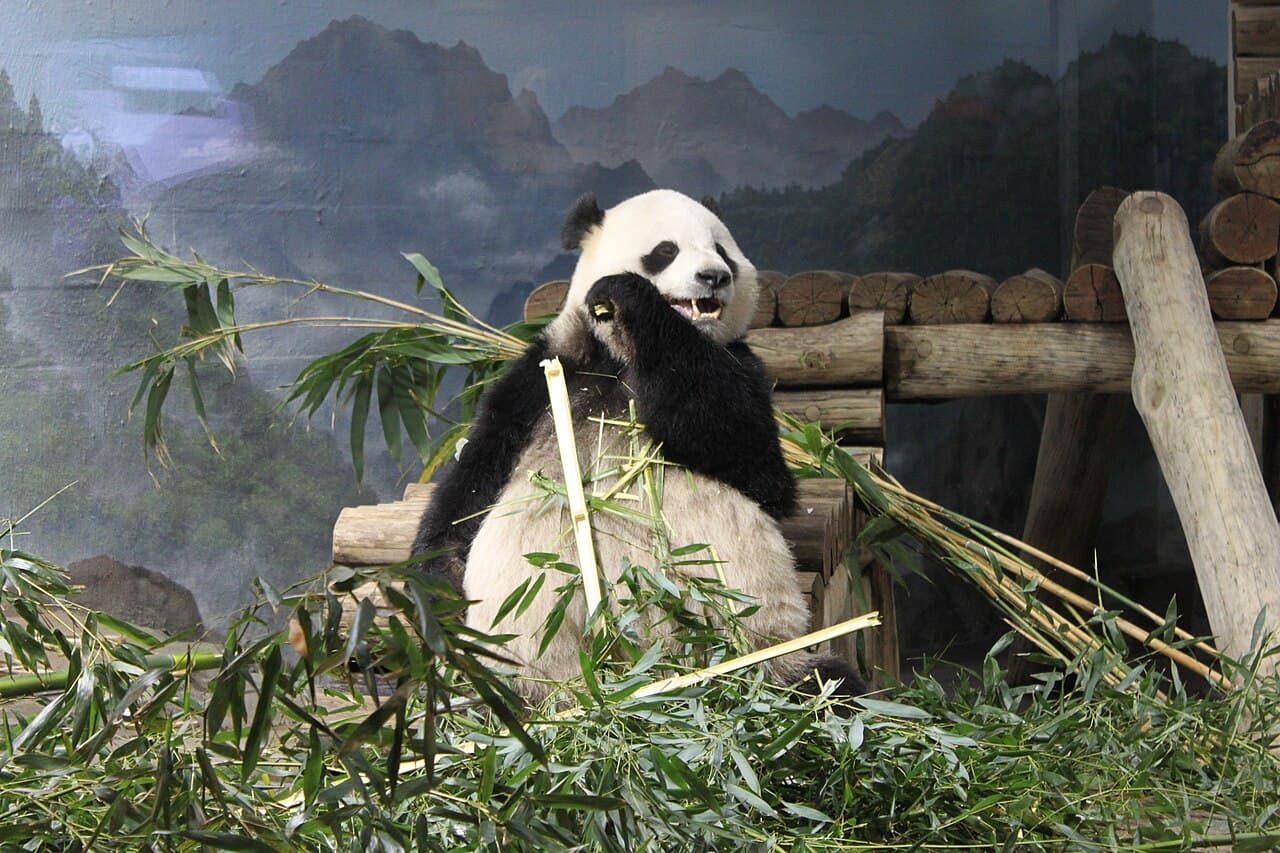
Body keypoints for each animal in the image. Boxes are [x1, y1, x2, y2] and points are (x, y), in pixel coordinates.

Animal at [412, 189, 865, 701]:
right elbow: (472, 483)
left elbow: (756, 465)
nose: (715, 276)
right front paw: (439, 591)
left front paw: (630, 297)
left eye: (722, 250)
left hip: (758, 643)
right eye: (665, 250)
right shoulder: (542, 377)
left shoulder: (740, 366)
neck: (618, 358)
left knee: (817, 681)